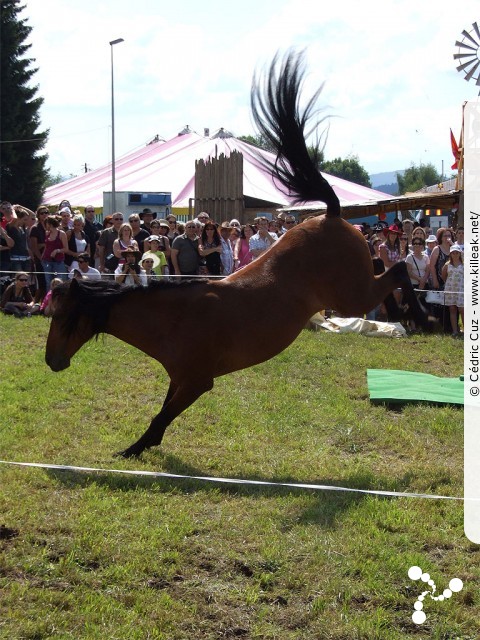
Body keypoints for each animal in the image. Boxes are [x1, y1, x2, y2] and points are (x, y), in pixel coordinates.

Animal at [44, 52, 428, 458]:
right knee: (389, 266)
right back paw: (404, 313)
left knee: (398, 270)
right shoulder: (180, 378)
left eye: (63, 317)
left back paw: (416, 314)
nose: (51, 361)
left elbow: (163, 414)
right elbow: (162, 410)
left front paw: (135, 448)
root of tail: (333, 214)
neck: (174, 316)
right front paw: (141, 445)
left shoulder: (197, 381)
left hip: (351, 295)